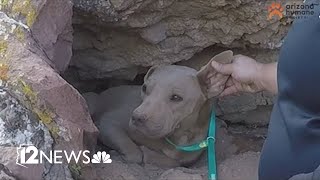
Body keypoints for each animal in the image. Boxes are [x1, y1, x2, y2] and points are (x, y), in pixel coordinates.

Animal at [84, 50, 234, 167]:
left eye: (176, 97)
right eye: (144, 88)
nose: (137, 118)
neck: (177, 136)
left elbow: (174, 162)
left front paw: (150, 154)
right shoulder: (108, 123)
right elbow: (133, 152)